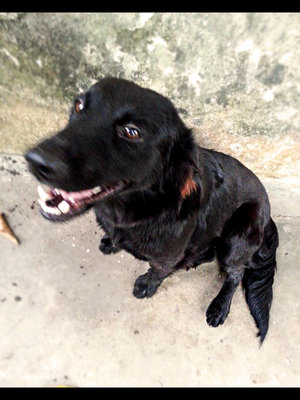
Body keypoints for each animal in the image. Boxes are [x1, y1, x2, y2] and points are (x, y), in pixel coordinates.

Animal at [25, 76, 278, 342]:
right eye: (78, 106)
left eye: (131, 132)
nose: (35, 160)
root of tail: (268, 213)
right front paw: (110, 242)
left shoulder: (166, 257)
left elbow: (158, 270)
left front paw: (147, 285)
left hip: (236, 236)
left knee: (235, 274)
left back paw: (219, 307)